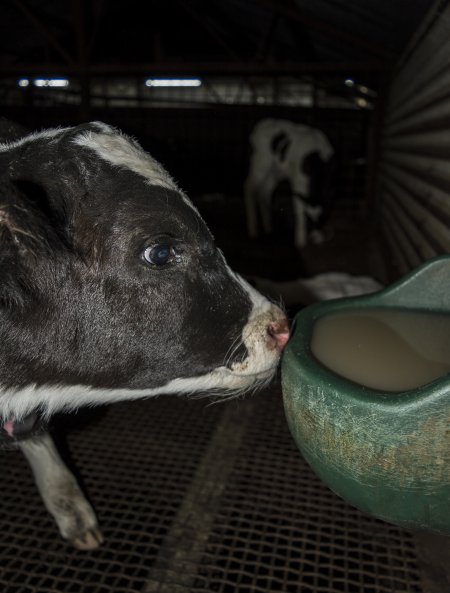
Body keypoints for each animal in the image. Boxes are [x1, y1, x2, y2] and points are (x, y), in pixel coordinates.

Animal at [243, 118, 334, 247]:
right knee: (249, 188)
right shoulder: (298, 181)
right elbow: (299, 209)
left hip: (275, 172)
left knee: (265, 191)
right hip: (259, 165)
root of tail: (261, 124)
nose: (314, 238)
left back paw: (268, 227)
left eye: (322, 218)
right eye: (308, 220)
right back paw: (253, 230)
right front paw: (300, 241)